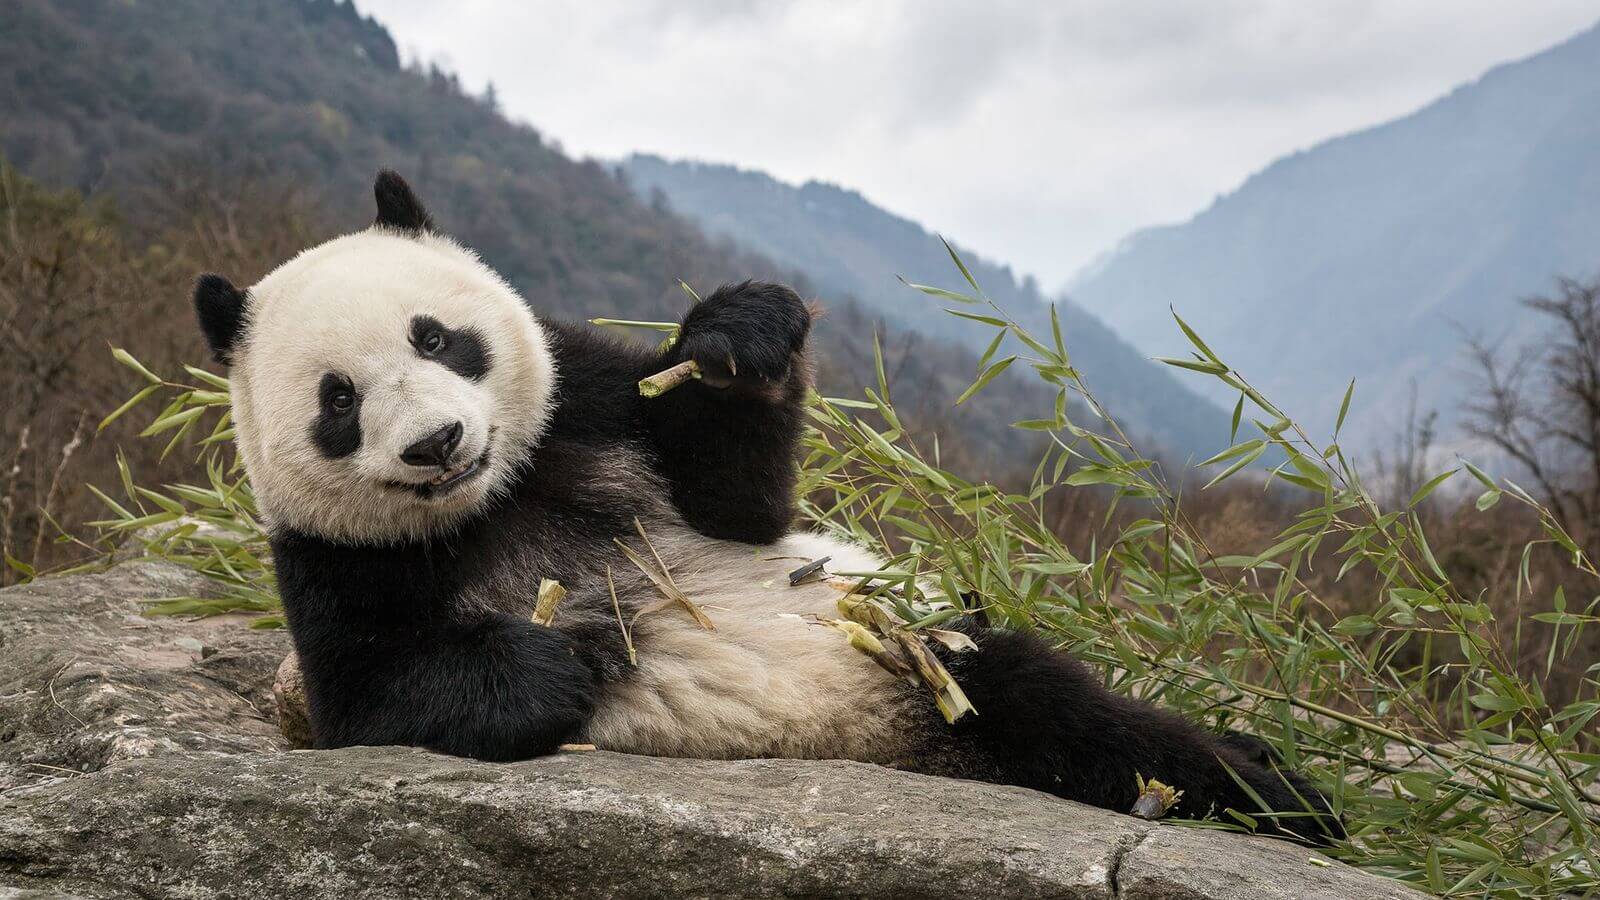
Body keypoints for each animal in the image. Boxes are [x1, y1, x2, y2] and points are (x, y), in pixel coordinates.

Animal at [184, 169, 1337, 839]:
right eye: (339, 401)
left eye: (438, 338)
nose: (439, 443)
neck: (501, 497)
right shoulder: (331, 558)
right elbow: (368, 697)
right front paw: (555, 663)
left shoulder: (586, 402)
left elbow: (737, 502)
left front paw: (737, 336)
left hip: (905, 651)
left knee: (1057, 701)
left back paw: (1274, 788)